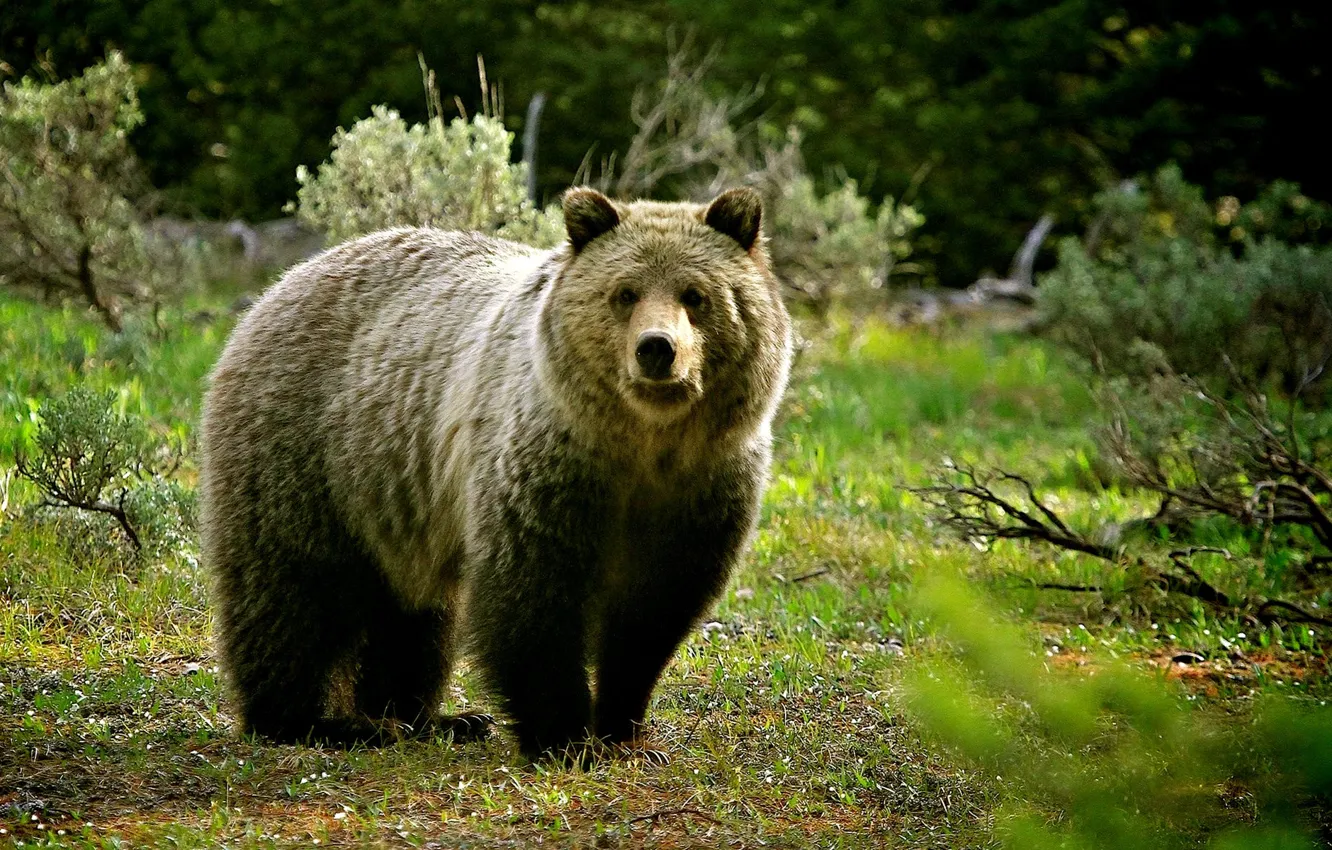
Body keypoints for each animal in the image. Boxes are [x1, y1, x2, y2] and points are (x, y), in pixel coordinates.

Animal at [199, 186, 791, 761]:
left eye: (695, 294)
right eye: (625, 293)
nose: (656, 349)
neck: (642, 443)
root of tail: (281, 284)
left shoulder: (703, 484)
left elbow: (654, 612)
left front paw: (624, 729)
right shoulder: (546, 465)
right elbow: (532, 595)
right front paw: (563, 736)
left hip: (396, 503)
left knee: (415, 616)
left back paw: (427, 719)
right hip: (308, 454)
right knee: (291, 590)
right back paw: (317, 722)